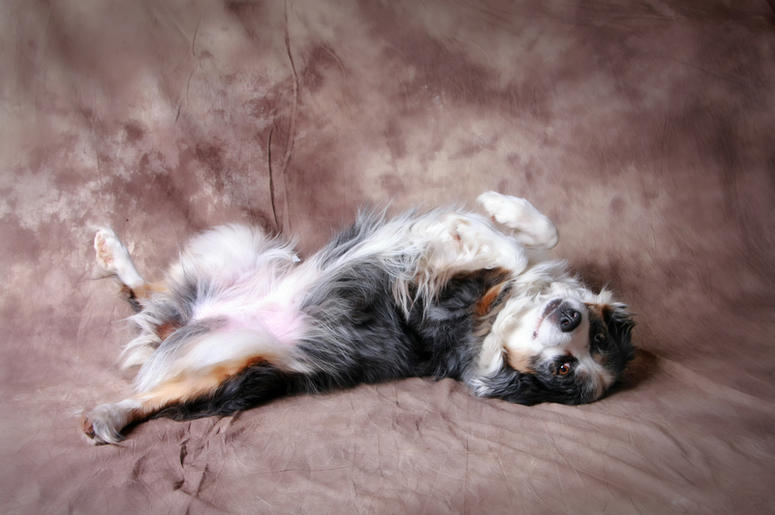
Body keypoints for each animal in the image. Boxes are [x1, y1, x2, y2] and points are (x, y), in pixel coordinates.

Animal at [82, 191, 635, 444]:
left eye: (564, 368)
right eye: (595, 336)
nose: (570, 317)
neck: (497, 325)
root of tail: (181, 327)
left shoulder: (431, 301)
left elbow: (511, 254)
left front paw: (473, 228)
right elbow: (542, 234)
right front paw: (500, 210)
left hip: (229, 362)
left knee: (151, 394)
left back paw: (105, 414)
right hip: (242, 249)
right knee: (148, 291)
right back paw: (111, 249)